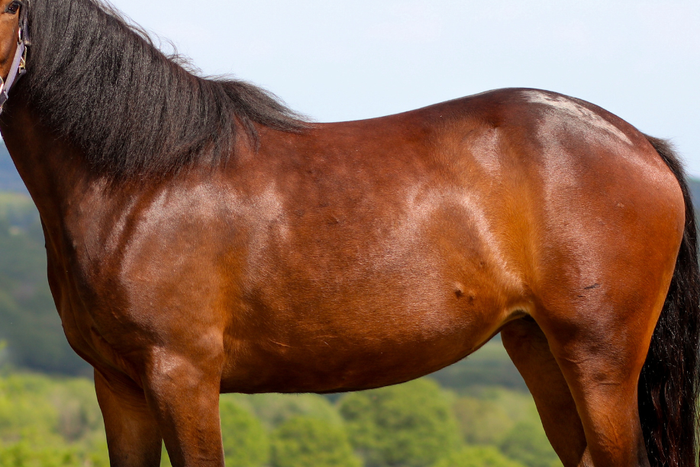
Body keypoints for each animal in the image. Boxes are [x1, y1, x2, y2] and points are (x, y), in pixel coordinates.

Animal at [0, 0, 698, 466]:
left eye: (9, 7)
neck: (143, 180)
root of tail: (643, 143)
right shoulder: (118, 386)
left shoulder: (183, 376)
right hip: (540, 349)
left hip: (600, 359)